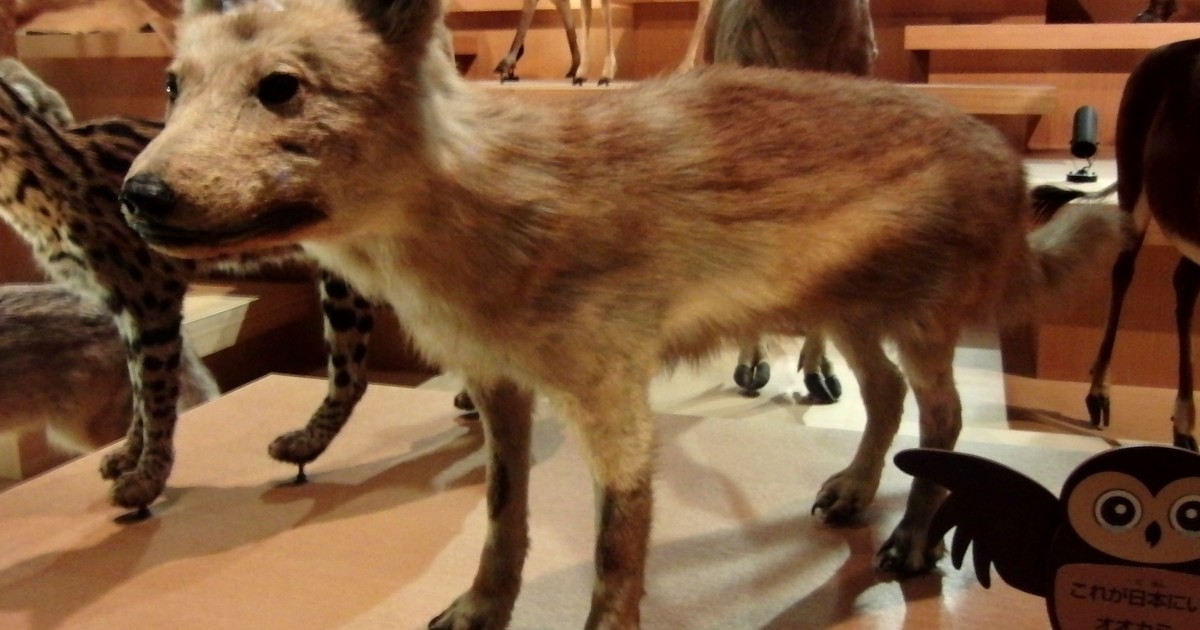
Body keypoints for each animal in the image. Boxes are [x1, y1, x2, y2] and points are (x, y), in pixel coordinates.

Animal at [119, 0, 1127, 626]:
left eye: (280, 86)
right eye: (173, 86)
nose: (139, 193)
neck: (491, 207)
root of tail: (1002, 156)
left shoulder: (616, 402)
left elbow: (616, 550)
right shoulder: (499, 389)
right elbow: (502, 521)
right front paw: (480, 609)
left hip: (918, 330)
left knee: (943, 421)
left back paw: (914, 538)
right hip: (846, 319)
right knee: (880, 401)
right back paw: (848, 490)